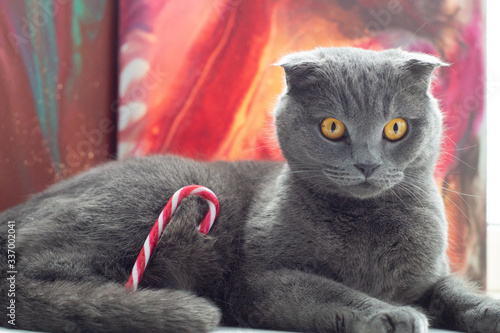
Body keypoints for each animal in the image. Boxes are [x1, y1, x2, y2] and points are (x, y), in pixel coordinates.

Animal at [0, 47, 500, 332]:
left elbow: (454, 290)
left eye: (395, 128)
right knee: (32, 276)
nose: (366, 163)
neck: (367, 227)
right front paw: (392, 314)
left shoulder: (429, 275)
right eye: (332, 127)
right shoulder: (260, 280)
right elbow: (329, 290)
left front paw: (489, 309)